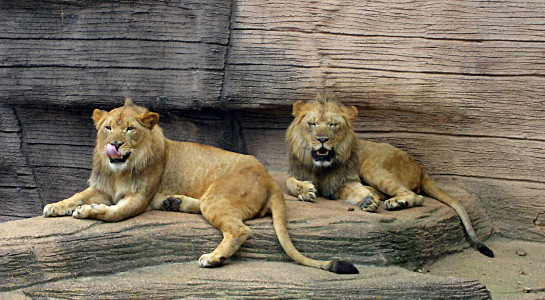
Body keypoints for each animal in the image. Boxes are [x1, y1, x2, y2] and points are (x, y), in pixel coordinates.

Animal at [41, 97, 356, 274]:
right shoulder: (102, 187)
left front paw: (86, 212)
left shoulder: (138, 198)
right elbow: (75, 195)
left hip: (218, 197)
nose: (115, 144)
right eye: (108, 127)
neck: (119, 170)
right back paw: (174, 202)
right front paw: (55, 206)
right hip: (210, 200)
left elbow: (112, 213)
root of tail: (270, 179)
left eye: (129, 129)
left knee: (240, 230)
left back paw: (213, 258)